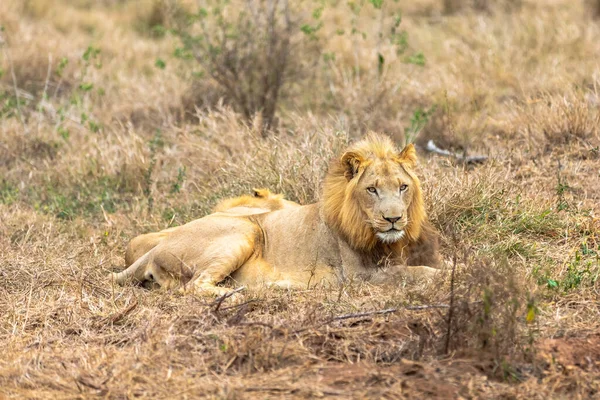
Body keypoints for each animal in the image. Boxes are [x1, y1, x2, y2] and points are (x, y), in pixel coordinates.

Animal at [112, 134, 440, 294]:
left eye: (402, 187)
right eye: (372, 189)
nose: (393, 219)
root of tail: (158, 246)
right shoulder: (358, 275)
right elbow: (411, 273)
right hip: (244, 230)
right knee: (193, 287)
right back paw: (240, 294)